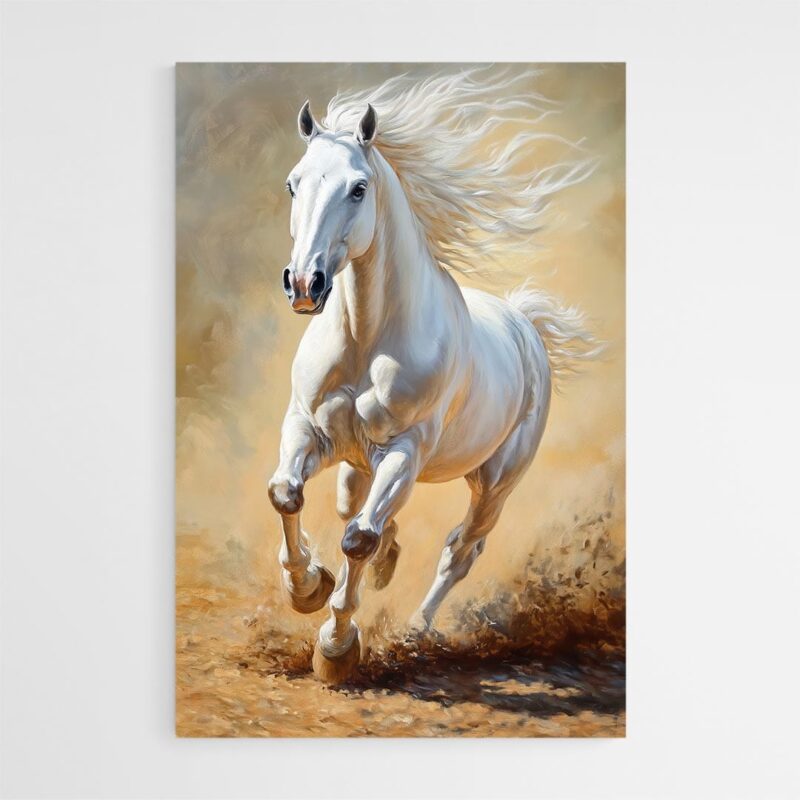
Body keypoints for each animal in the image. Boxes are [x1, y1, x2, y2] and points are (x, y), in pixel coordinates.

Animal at [267, 69, 602, 683]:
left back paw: (416, 630)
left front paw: (335, 647)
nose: (304, 283)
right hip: (359, 457)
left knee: (458, 550)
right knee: (357, 503)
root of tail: (526, 325)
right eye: (292, 185)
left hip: (495, 482)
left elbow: (358, 538)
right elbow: (288, 495)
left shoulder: (406, 450)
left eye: (358, 188)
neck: (367, 339)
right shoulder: (308, 427)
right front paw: (306, 588)